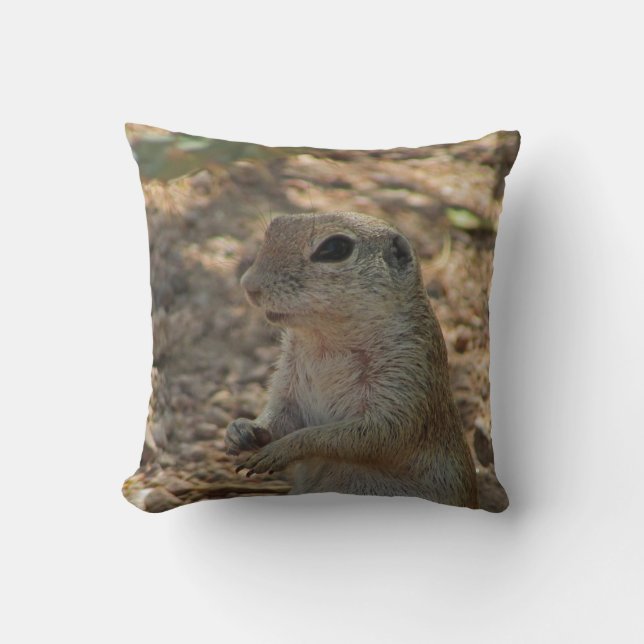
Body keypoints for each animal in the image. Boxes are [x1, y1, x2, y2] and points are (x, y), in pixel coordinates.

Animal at [225, 212, 478, 508]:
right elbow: (281, 413)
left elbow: (375, 433)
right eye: (274, 227)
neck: (326, 344)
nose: (248, 285)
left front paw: (282, 448)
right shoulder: (288, 378)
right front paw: (242, 428)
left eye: (335, 248)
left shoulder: (406, 373)